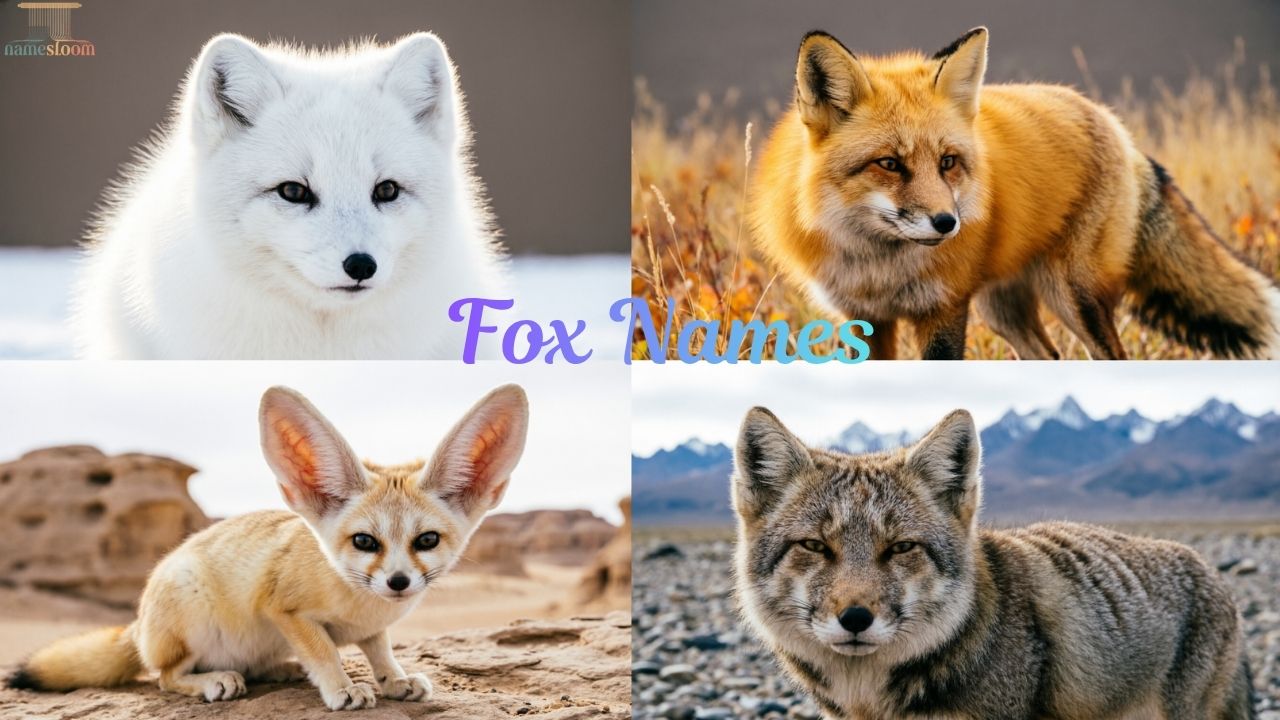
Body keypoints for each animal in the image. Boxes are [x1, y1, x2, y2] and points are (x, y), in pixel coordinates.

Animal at [6, 384, 529, 711]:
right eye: (365, 541)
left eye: (427, 540)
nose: (398, 582)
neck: (360, 602)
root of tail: (137, 626)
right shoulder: (286, 610)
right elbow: (325, 652)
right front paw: (341, 688)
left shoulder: (372, 629)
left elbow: (381, 653)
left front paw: (396, 681)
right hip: (192, 616)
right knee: (165, 677)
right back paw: (216, 680)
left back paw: (277, 670)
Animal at [749, 27, 1280, 360]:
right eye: (889, 164)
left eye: (947, 162)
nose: (948, 223)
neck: (879, 270)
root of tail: (1108, 120)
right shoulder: (863, 320)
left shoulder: (944, 310)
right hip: (1002, 309)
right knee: (1050, 356)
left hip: (1074, 297)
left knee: (1111, 355)